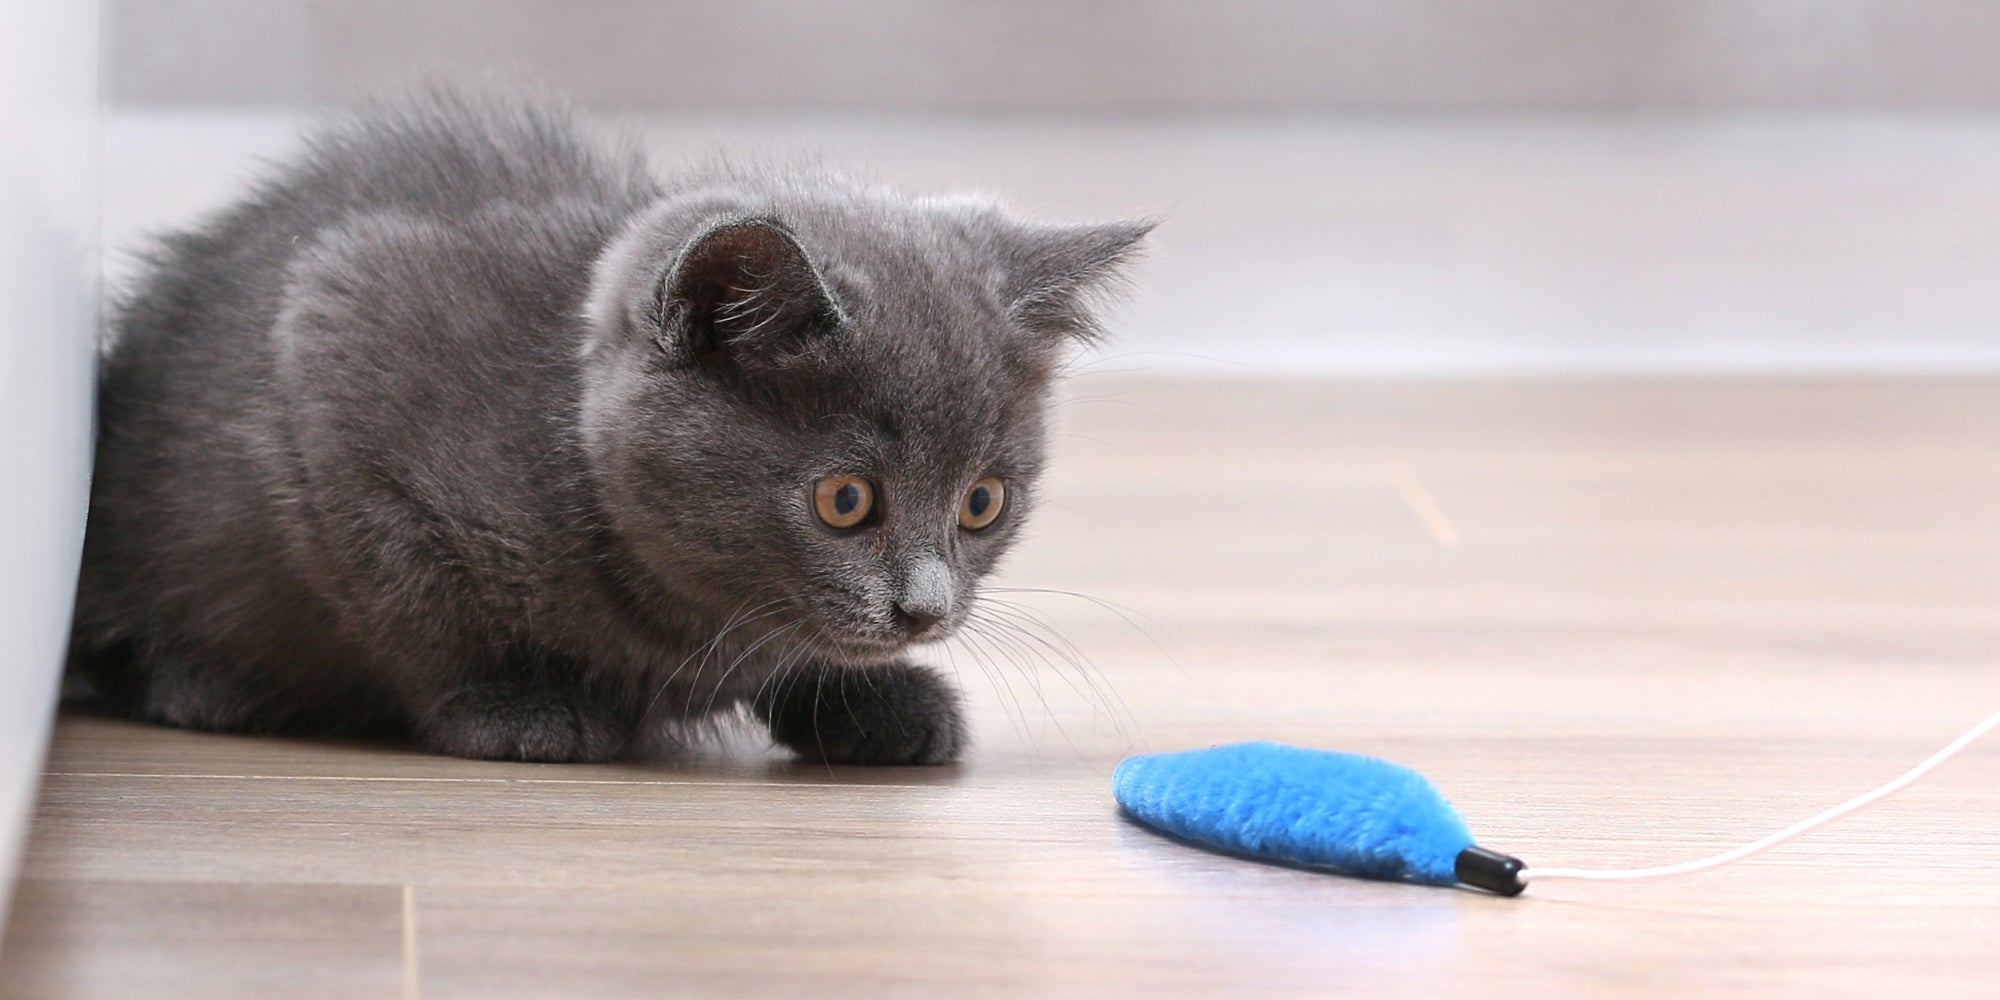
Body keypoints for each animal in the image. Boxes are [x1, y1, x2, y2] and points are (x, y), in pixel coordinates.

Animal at [70, 95, 1152, 764]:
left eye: (982, 503)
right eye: (845, 500)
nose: (924, 612)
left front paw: (876, 703)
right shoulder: (334, 347)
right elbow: (413, 608)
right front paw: (512, 707)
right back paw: (209, 683)